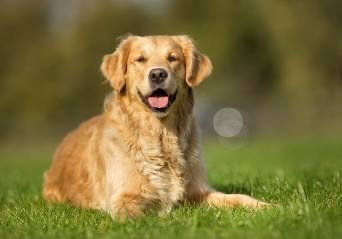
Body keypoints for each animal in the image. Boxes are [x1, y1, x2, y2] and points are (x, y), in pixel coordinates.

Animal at [42, 34, 268, 219]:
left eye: (173, 58)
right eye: (140, 59)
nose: (158, 74)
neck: (161, 135)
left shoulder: (198, 192)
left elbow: (238, 197)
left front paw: (267, 207)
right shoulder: (123, 198)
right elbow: (136, 216)